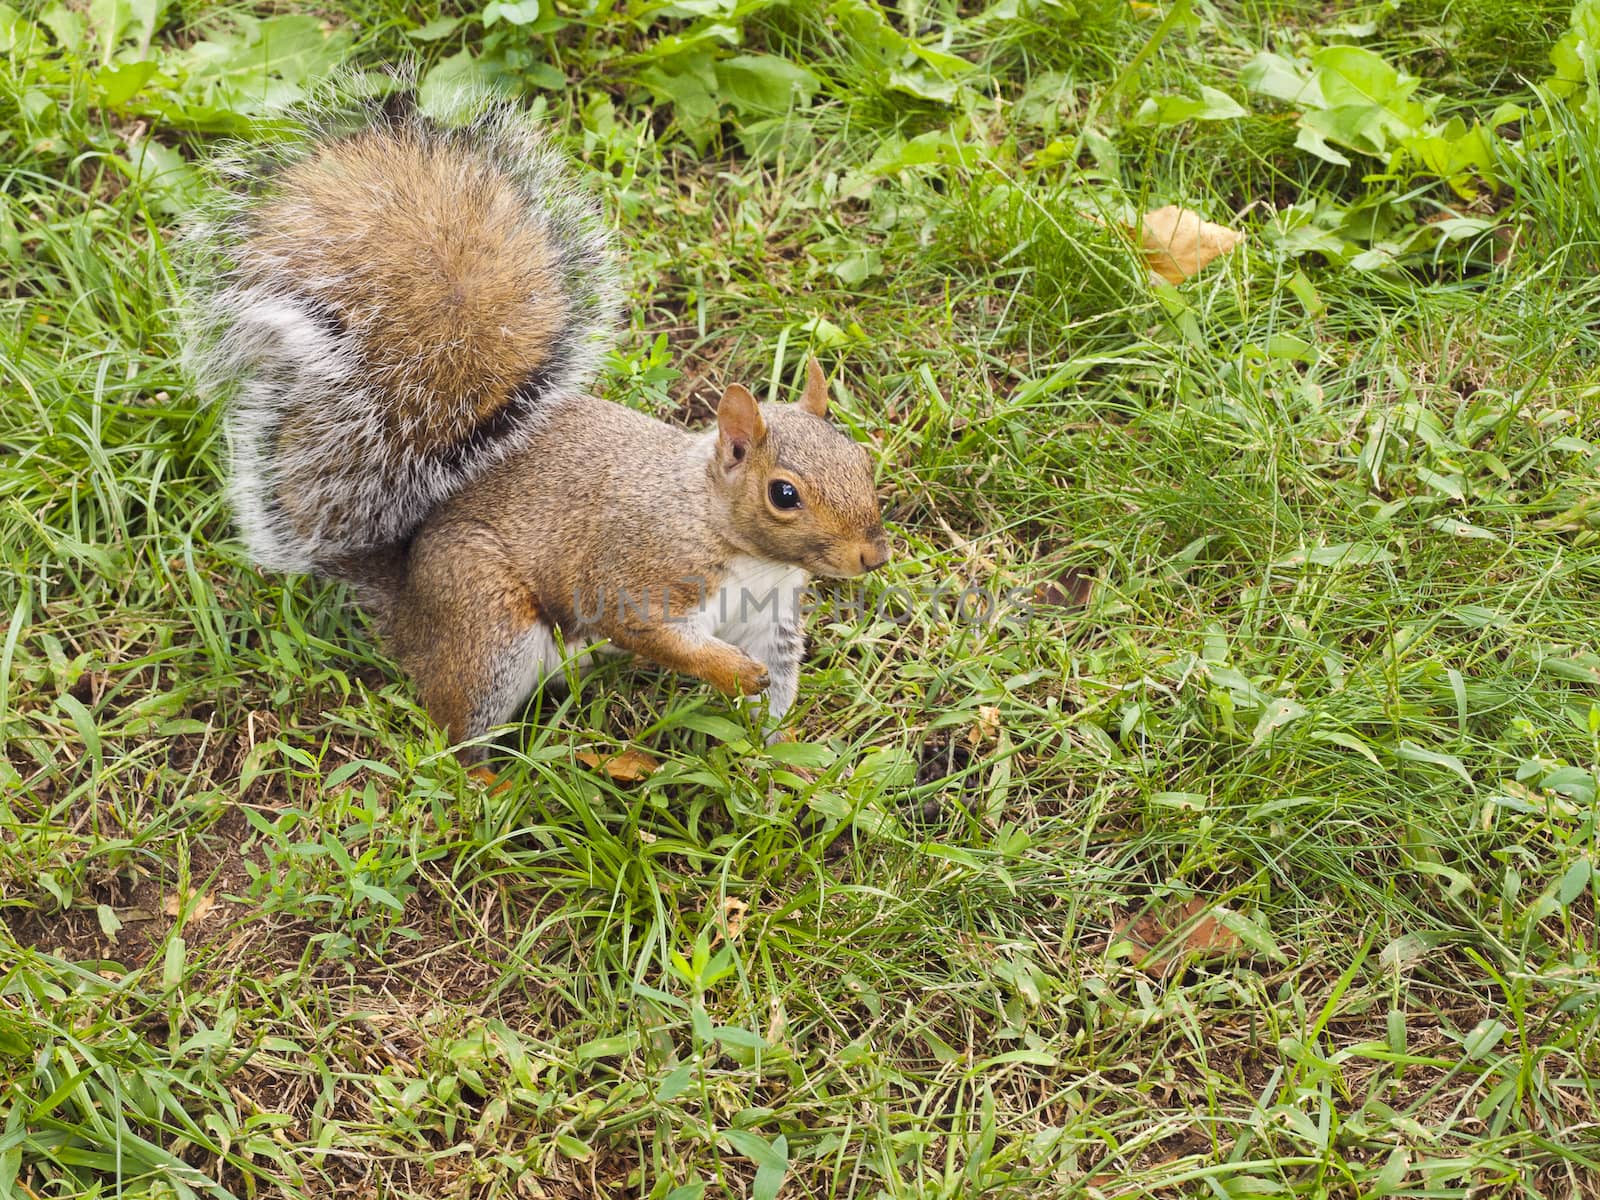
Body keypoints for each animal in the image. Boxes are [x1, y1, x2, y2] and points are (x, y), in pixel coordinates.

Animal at [184, 91, 902, 761]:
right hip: (487, 623)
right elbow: (654, 634)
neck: (732, 540)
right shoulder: (635, 576)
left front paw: (783, 762)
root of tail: (408, 605)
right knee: (455, 735)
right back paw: (486, 778)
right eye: (784, 494)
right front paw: (731, 673)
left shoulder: (769, 616)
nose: (873, 556)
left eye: (861, 459)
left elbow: (777, 695)